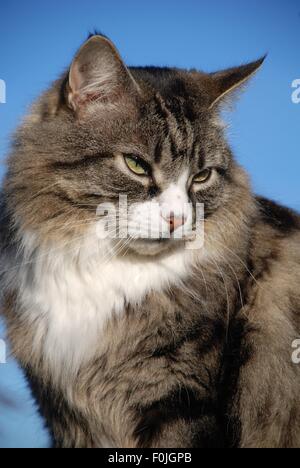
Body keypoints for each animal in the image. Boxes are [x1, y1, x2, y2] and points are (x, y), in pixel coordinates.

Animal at [0, 34, 300, 448]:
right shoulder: (64, 415)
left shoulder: (180, 400)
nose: (178, 219)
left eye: (201, 176)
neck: (102, 269)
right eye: (136, 165)